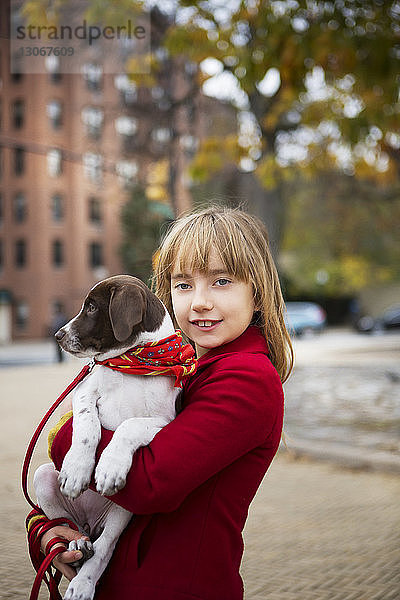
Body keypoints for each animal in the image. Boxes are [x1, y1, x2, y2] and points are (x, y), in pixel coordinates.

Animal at [33, 276, 182, 600]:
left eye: (91, 307)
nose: (58, 335)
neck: (132, 364)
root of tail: (91, 522)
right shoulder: (83, 393)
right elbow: (88, 426)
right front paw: (77, 470)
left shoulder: (166, 421)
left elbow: (129, 427)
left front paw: (109, 468)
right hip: (43, 478)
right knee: (70, 526)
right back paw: (77, 543)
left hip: (123, 511)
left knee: (104, 547)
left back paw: (83, 583)